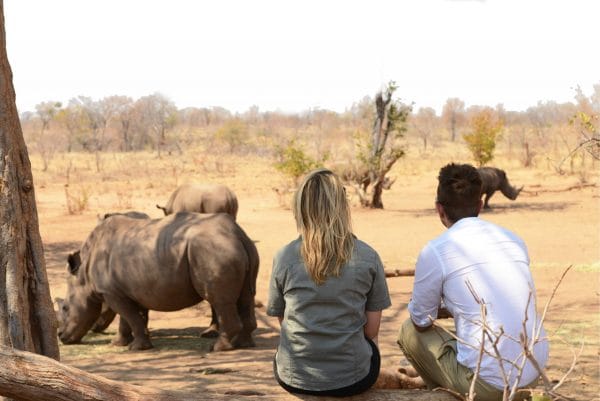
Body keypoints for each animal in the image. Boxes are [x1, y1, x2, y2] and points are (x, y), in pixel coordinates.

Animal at [56, 211, 260, 352]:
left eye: (65, 308)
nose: (61, 336)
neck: (83, 275)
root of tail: (237, 234)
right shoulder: (126, 290)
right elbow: (128, 318)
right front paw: (118, 344)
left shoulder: (111, 292)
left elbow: (131, 317)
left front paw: (136, 348)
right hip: (238, 248)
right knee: (246, 297)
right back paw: (244, 344)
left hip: (212, 250)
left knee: (219, 301)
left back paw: (217, 348)